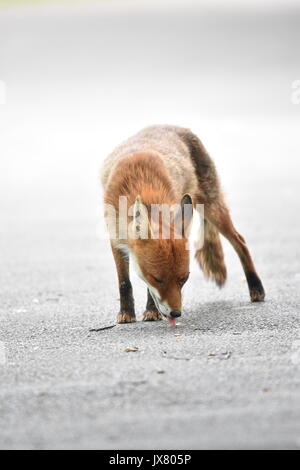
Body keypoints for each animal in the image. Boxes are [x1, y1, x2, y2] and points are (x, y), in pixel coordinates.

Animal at [101, 125, 264, 324]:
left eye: (183, 279)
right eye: (157, 279)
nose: (175, 314)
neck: (141, 184)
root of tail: (177, 127)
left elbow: (147, 291)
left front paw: (152, 311)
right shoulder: (115, 237)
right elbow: (124, 282)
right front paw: (126, 313)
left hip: (212, 208)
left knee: (240, 241)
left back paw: (256, 287)